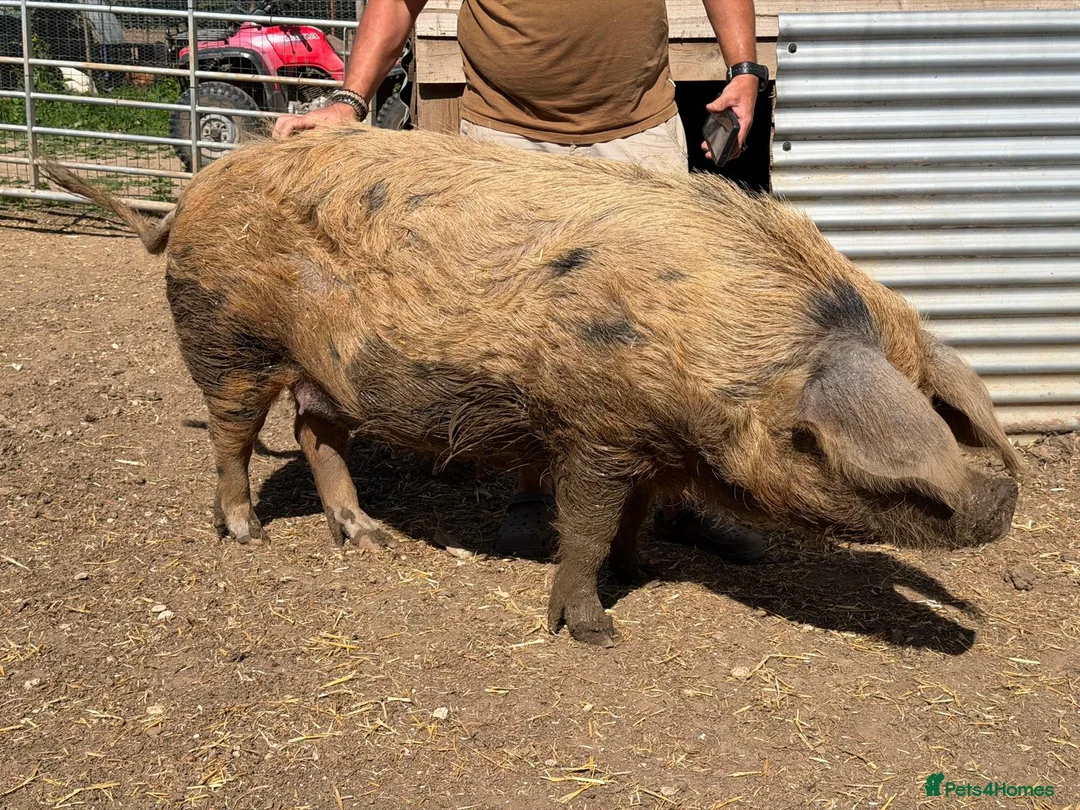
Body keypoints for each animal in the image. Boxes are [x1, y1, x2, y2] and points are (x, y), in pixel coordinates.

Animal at [43, 125, 1021, 646]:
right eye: (862, 460)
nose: (1002, 499)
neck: (716, 357)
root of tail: (183, 198)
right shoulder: (596, 429)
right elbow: (582, 527)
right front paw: (596, 631)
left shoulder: (648, 446)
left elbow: (633, 518)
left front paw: (647, 568)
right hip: (228, 339)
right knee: (231, 436)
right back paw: (244, 534)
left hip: (328, 375)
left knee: (318, 436)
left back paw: (364, 538)